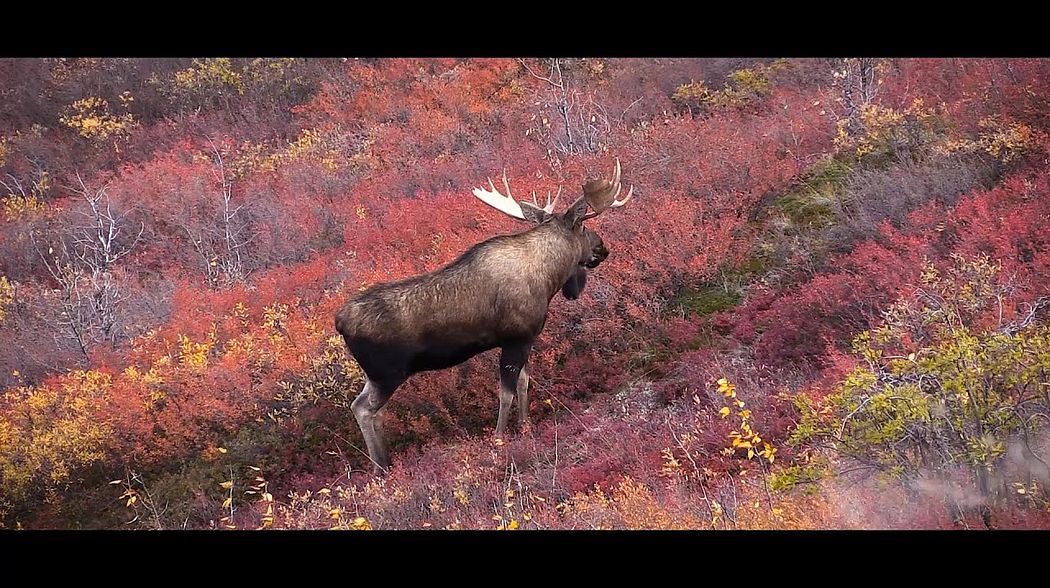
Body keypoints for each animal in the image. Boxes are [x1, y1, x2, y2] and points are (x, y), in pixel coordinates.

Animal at [335, 160, 634, 473]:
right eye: (585, 226)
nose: (603, 248)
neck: (550, 278)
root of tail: (339, 322)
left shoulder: (523, 340)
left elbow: (523, 384)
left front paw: (525, 427)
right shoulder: (516, 338)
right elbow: (506, 392)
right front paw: (500, 438)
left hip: (375, 376)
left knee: (372, 410)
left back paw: (386, 462)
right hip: (388, 373)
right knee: (363, 409)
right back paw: (380, 468)